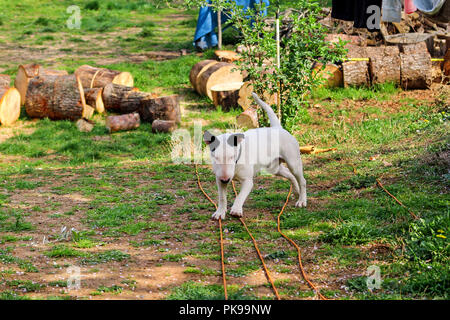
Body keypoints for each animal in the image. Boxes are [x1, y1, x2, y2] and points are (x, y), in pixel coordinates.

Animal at [203, 91, 306, 219]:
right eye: (215, 157)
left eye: (232, 156)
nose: (225, 180)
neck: (237, 161)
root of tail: (277, 128)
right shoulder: (219, 180)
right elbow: (222, 198)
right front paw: (220, 212)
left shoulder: (247, 181)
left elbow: (240, 196)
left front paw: (236, 209)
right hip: (274, 168)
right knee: (290, 175)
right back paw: (296, 191)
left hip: (293, 163)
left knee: (302, 180)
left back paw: (302, 200)